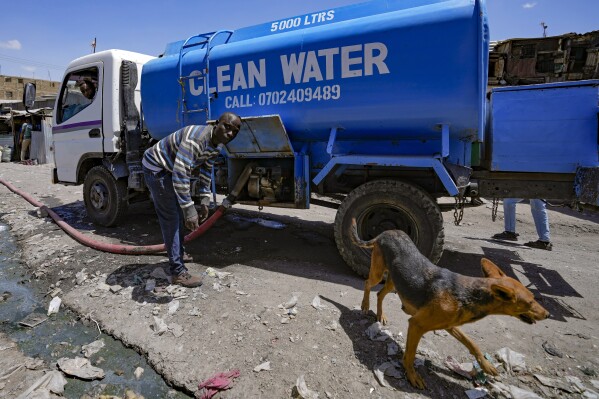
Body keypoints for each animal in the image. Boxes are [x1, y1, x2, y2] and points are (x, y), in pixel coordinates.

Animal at [354, 220, 552, 390]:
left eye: (534, 298)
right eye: (529, 302)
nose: (548, 314)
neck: (470, 295)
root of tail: (385, 232)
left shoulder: (450, 325)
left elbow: (472, 343)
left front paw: (486, 365)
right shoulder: (417, 324)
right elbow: (410, 355)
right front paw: (412, 375)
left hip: (394, 282)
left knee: (380, 293)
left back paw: (381, 315)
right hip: (378, 272)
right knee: (368, 284)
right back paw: (364, 304)